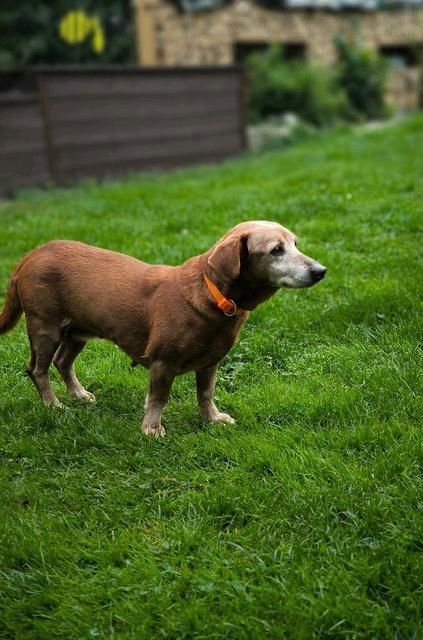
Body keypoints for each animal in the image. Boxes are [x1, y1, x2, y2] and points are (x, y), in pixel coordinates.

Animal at [0, 222, 328, 438]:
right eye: (276, 250)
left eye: (295, 244)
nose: (320, 271)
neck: (213, 296)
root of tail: (30, 256)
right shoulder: (163, 363)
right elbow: (158, 398)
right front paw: (151, 428)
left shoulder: (210, 363)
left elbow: (206, 393)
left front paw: (212, 418)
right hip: (45, 328)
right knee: (38, 369)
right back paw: (53, 405)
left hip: (77, 331)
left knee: (63, 362)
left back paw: (78, 394)